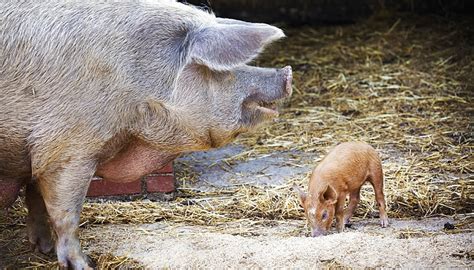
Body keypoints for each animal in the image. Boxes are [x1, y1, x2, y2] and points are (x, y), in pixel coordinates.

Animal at [0, 1, 292, 268]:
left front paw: (44, 249)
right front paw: (84, 264)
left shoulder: (39, 155)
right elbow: (65, 213)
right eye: (225, 69)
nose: (286, 73)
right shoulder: (67, 149)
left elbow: (36, 199)